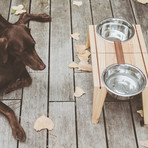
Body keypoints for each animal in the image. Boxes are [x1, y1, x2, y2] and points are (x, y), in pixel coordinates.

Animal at [0, 13, 51, 142]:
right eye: (22, 50)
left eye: (34, 45)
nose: (43, 66)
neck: (10, 62)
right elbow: (8, 109)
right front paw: (18, 129)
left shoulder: (22, 68)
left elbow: (28, 80)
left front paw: (11, 86)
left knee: (22, 16)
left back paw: (42, 16)